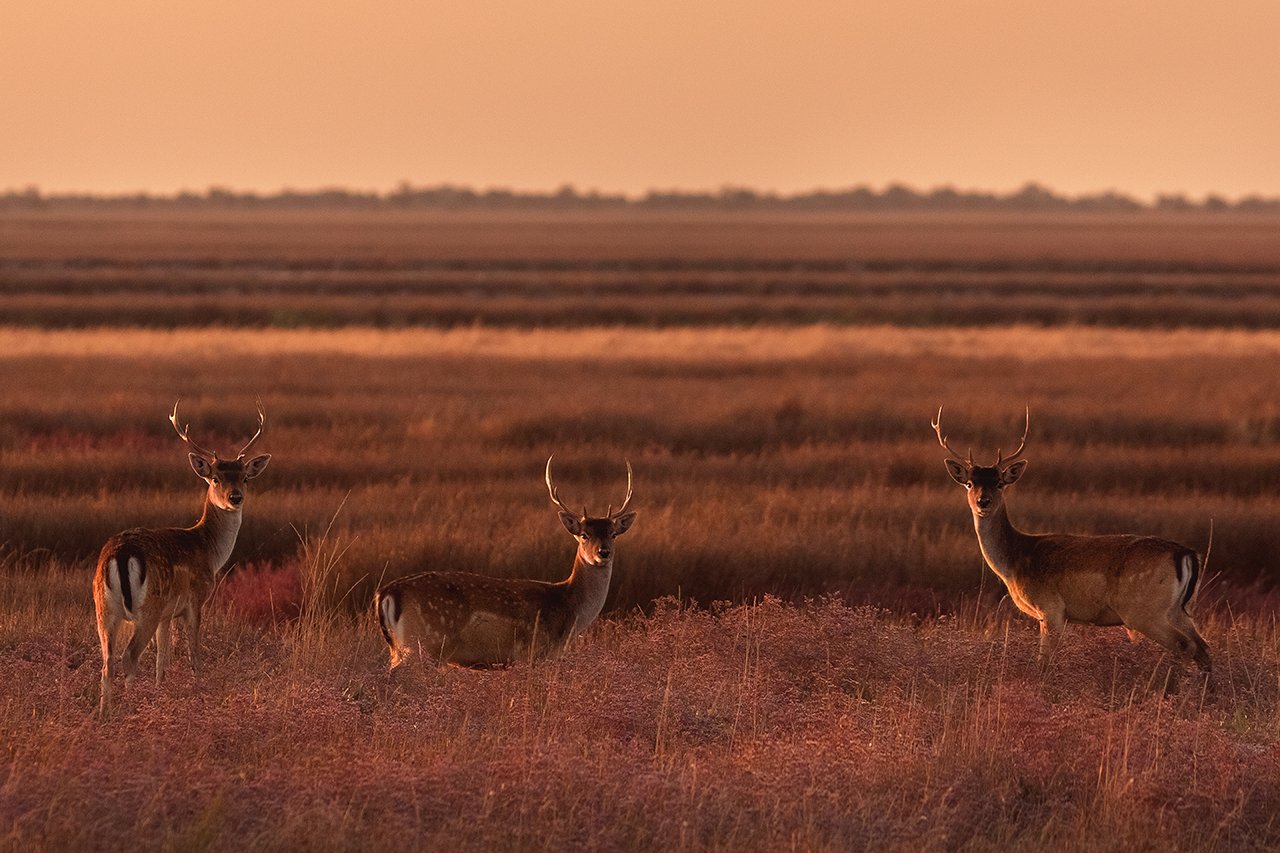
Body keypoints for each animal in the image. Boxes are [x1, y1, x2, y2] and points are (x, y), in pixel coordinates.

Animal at [93, 399, 271, 712]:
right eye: (215, 478)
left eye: (246, 478)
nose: (235, 497)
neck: (209, 551)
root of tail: (121, 554)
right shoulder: (195, 600)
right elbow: (194, 654)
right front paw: (199, 691)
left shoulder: (167, 614)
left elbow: (162, 661)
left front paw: (159, 691)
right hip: (147, 608)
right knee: (129, 657)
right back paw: (128, 707)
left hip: (103, 609)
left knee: (107, 663)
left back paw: (105, 713)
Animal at [373, 455, 640, 666]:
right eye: (584, 535)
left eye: (613, 534)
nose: (603, 553)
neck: (568, 610)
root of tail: (386, 593)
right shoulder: (534, 652)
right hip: (424, 642)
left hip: (400, 648)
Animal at [931, 404, 1208, 671]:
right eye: (969, 483)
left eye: (999, 482)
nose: (983, 501)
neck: (1015, 561)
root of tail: (1186, 554)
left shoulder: (1051, 607)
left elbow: (1043, 662)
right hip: (1181, 610)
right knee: (1203, 647)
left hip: (1144, 610)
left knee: (1186, 645)